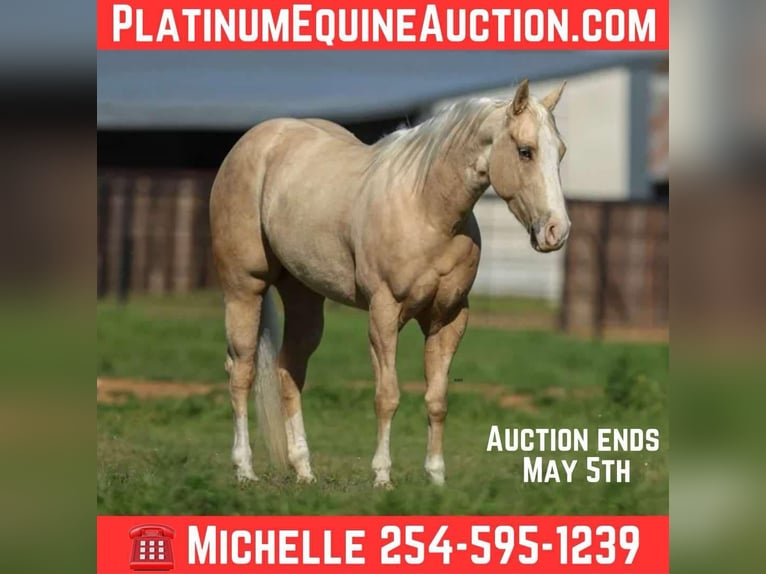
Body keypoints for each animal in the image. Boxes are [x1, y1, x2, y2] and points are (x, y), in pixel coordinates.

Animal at [210, 79, 570, 488]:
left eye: (560, 152)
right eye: (525, 151)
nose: (557, 231)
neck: (426, 209)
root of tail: (257, 139)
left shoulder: (448, 318)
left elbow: (437, 399)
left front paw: (436, 477)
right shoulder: (383, 313)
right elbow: (387, 396)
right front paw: (382, 476)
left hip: (304, 296)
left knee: (290, 369)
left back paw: (304, 470)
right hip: (244, 289)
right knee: (242, 370)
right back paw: (244, 469)